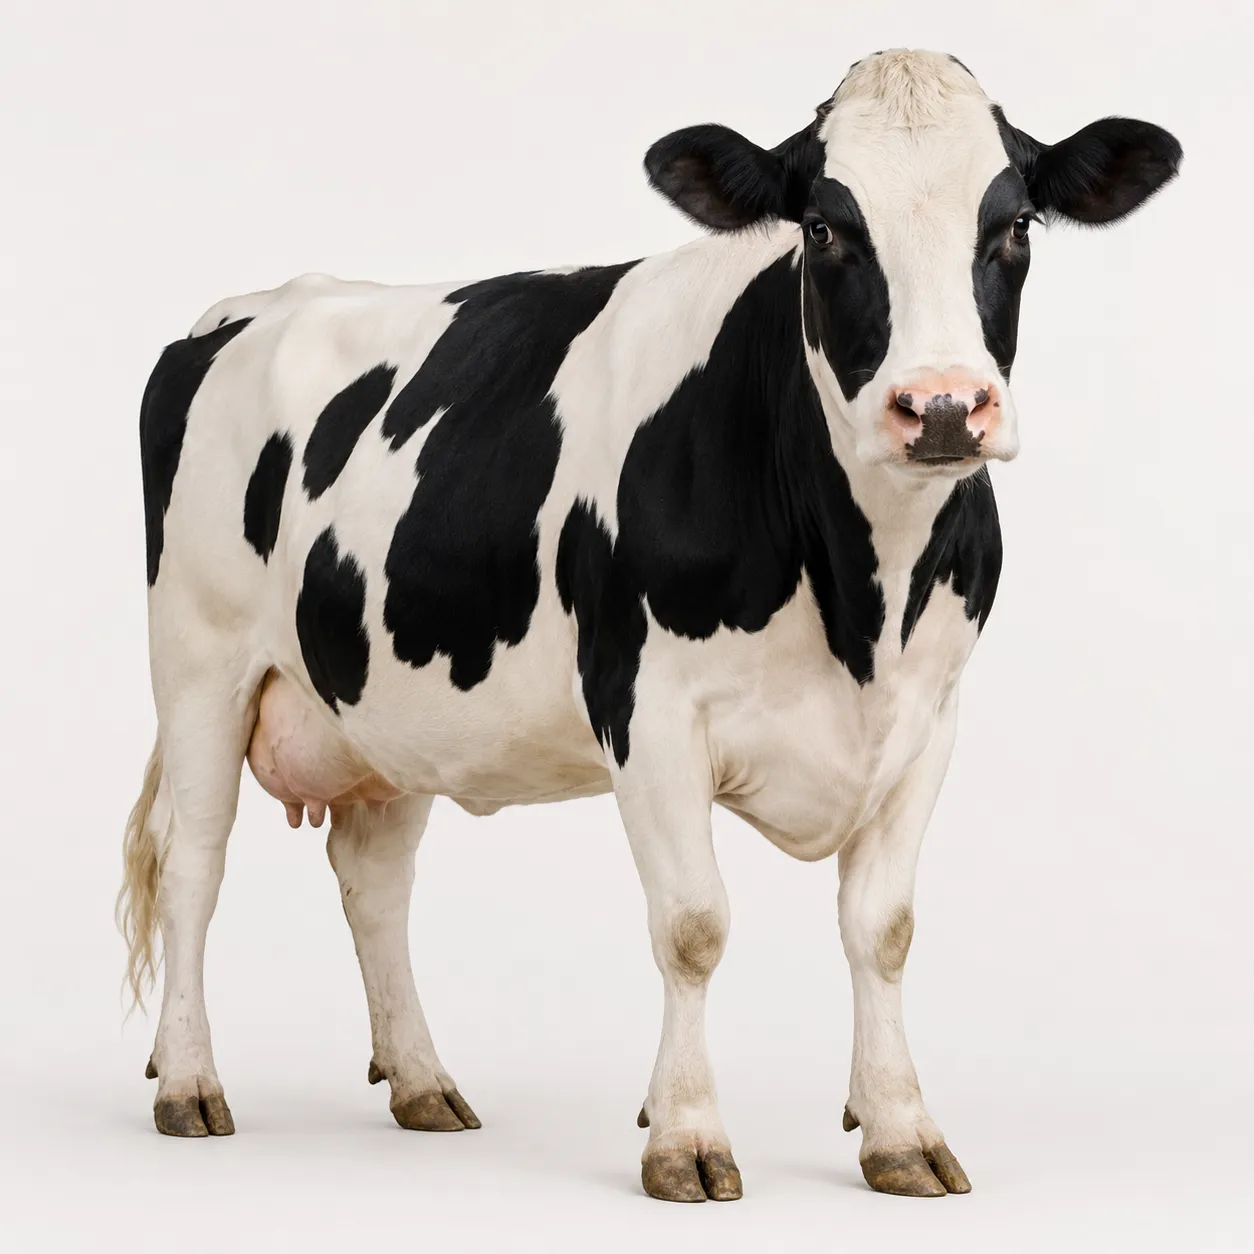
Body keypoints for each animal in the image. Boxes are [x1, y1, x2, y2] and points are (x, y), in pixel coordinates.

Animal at [119, 49, 1180, 1202]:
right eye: (824, 228)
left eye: (1016, 223)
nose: (943, 407)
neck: (865, 604)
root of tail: (241, 309)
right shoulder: (651, 711)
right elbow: (694, 926)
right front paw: (686, 1139)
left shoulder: (929, 719)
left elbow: (884, 930)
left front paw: (899, 1131)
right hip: (199, 665)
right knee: (192, 862)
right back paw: (189, 1083)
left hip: (386, 705)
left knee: (374, 880)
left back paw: (423, 1083)